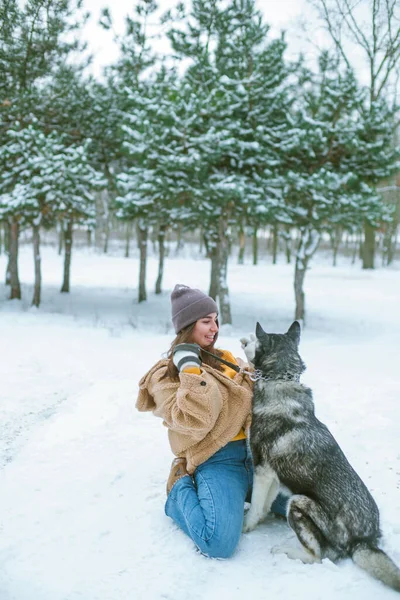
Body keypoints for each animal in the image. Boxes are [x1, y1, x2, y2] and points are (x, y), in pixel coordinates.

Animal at [241, 322, 400, 592]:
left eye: (253, 339)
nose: (242, 340)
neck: (280, 381)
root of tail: (364, 540)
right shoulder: (272, 476)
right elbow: (262, 507)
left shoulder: (261, 470)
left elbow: (255, 507)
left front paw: (246, 526)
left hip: (298, 502)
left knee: (319, 556)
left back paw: (286, 551)